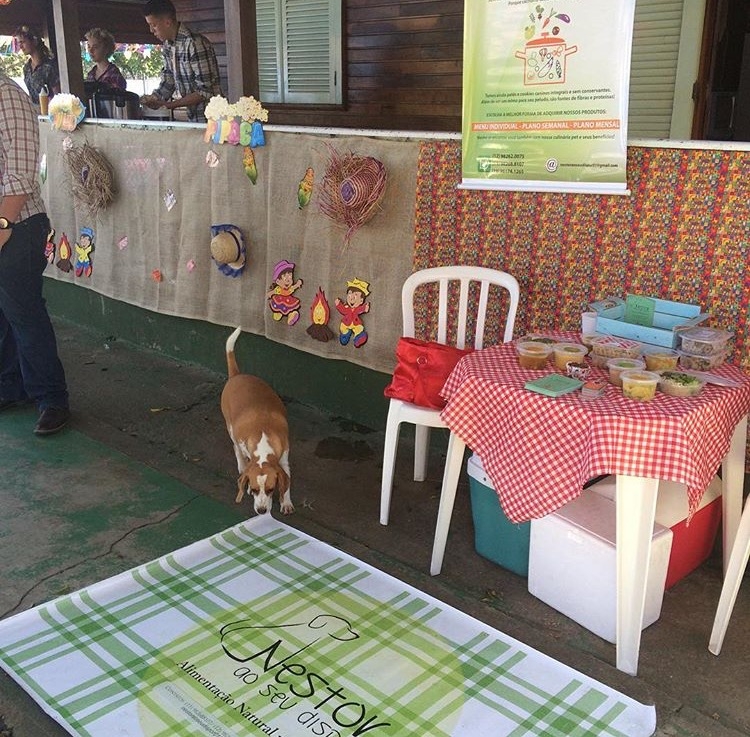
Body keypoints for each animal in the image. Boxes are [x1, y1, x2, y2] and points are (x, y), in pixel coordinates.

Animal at [220, 324, 294, 516]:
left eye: (270, 490)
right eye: (254, 490)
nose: (261, 511)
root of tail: (236, 375)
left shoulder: (284, 460)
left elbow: (287, 484)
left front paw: (286, 502)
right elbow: (245, 463)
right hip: (231, 430)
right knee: (236, 449)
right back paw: (240, 465)